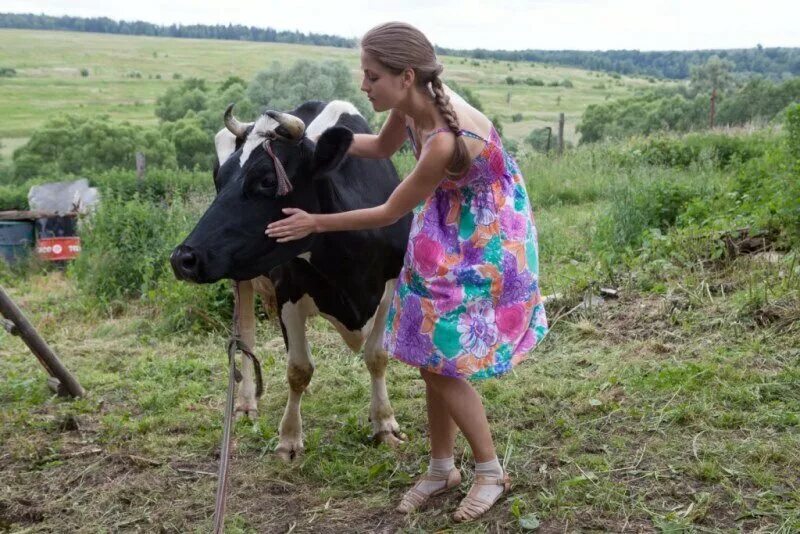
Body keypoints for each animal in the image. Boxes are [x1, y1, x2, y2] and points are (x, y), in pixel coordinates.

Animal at [173, 102, 412, 462]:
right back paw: (245, 403)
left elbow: (377, 357)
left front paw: (384, 423)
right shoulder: (288, 292)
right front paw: (289, 438)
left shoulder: (388, 287)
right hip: (241, 276)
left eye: (267, 180)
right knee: (246, 336)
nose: (182, 258)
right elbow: (298, 369)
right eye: (220, 178)